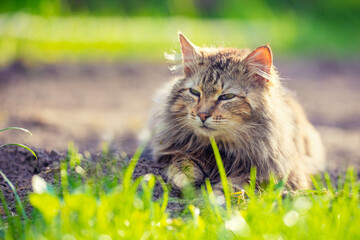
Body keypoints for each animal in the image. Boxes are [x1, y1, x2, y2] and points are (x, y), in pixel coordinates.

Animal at [149, 32, 326, 193]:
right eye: (194, 92)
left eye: (227, 97)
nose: (202, 115)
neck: (221, 149)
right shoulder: (173, 152)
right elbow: (182, 163)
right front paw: (187, 183)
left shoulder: (278, 174)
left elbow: (239, 183)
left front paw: (216, 197)